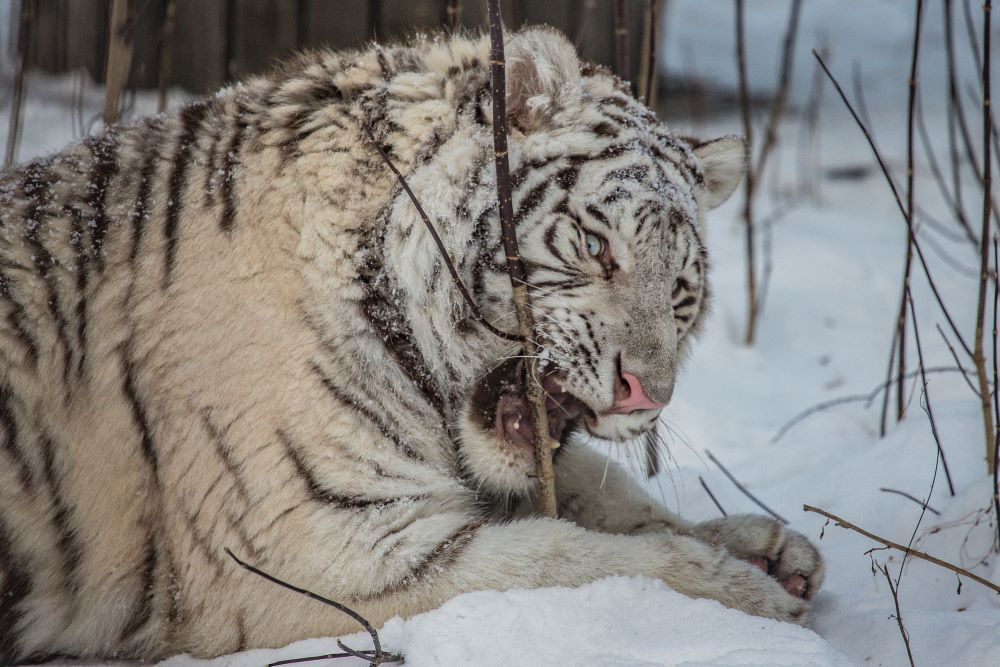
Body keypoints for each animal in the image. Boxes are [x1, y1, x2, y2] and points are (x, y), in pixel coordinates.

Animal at [0, 27, 823, 662]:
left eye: (681, 291)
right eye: (596, 246)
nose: (646, 394)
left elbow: (598, 486)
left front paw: (768, 549)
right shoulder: (319, 549)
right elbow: (572, 558)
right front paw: (746, 596)